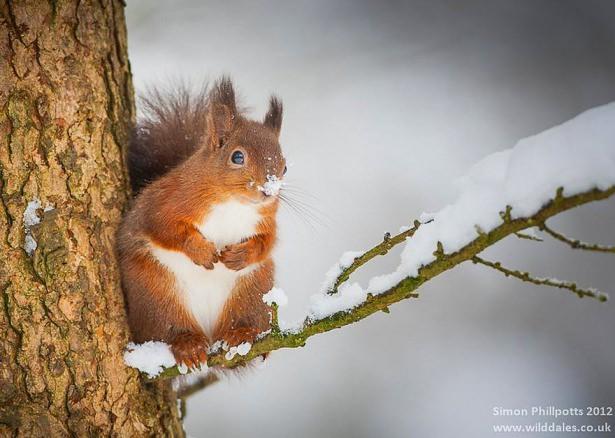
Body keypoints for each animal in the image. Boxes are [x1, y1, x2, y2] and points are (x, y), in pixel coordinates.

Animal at [118, 77, 286, 368]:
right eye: (237, 157)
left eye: (284, 167)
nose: (269, 190)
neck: (233, 204)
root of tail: (209, 331)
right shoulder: (165, 202)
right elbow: (164, 228)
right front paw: (201, 250)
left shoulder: (266, 221)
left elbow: (267, 243)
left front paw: (242, 255)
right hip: (155, 293)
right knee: (168, 327)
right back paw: (187, 344)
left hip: (253, 292)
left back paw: (242, 335)